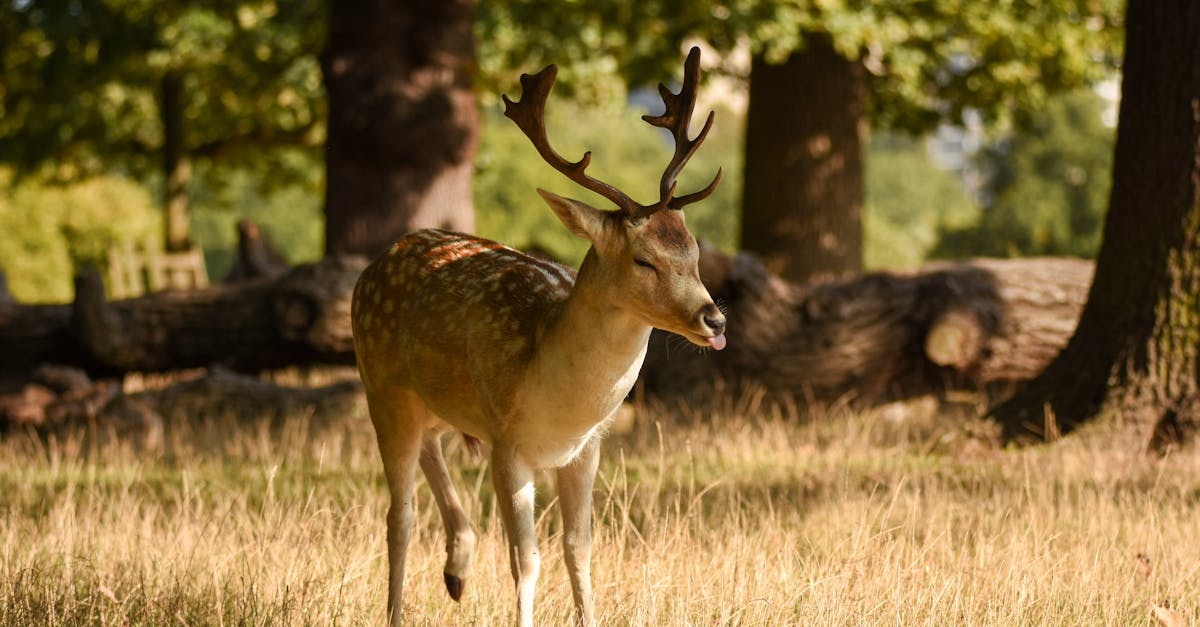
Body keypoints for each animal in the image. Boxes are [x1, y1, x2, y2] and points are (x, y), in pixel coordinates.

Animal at [351, 46, 725, 627]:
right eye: (644, 260)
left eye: (693, 250)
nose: (715, 319)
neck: (556, 397)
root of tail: (376, 262)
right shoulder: (507, 443)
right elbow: (526, 559)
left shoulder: (588, 447)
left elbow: (580, 548)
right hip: (381, 386)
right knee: (399, 515)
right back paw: (399, 607)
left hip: (434, 402)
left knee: (432, 449)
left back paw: (457, 570)